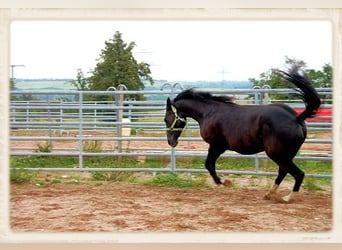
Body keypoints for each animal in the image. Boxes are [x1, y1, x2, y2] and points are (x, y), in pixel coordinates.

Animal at [165, 65, 320, 202]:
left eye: (166, 119)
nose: (171, 142)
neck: (208, 112)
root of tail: (297, 118)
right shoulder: (217, 147)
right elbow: (209, 164)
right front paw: (224, 181)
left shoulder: (217, 145)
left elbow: (208, 164)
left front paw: (224, 182)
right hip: (285, 155)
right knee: (284, 172)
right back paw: (269, 194)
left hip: (277, 154)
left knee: (298, 174)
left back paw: (287, 197)